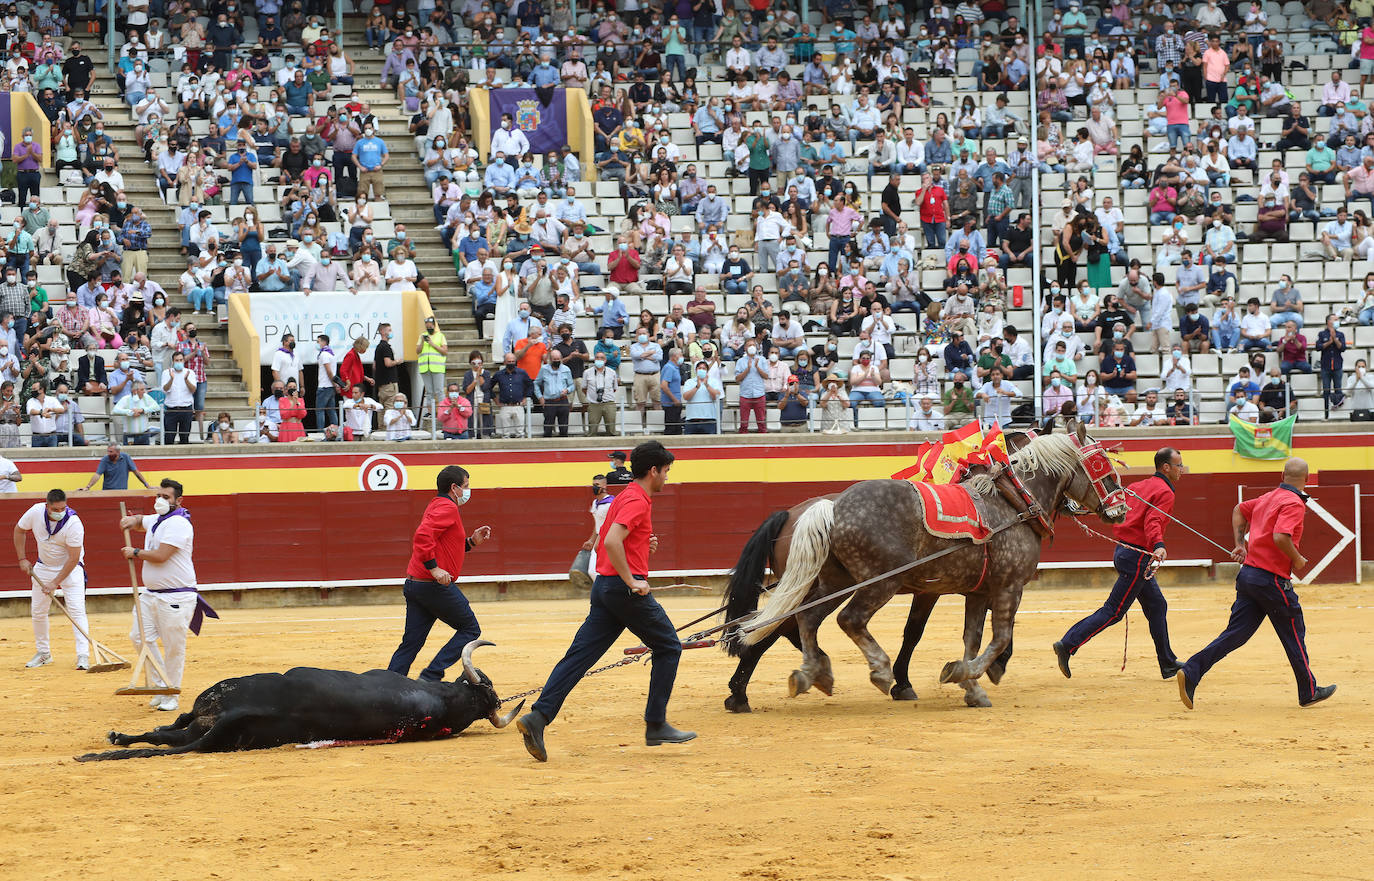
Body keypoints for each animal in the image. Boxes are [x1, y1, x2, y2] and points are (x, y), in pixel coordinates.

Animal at [77, 634, 522, 758]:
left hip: (213, 718)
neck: (446, 703)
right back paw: (117, 738)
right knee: (166, 732)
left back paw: (112, 745)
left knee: (170, 737)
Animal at [741, 423, 1126, 703]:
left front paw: (971, 687)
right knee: (846, 620)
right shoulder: (1008, 587)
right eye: (1102, 466)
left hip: (836, 581)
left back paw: (811, 674)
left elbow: (971, 638)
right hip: (878, 583)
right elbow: (999, 637)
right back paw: (877, 671)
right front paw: (966, 674)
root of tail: (830, 507)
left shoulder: (978, 592)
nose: (1120, 508)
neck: (1015, 503)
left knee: (805, 619)